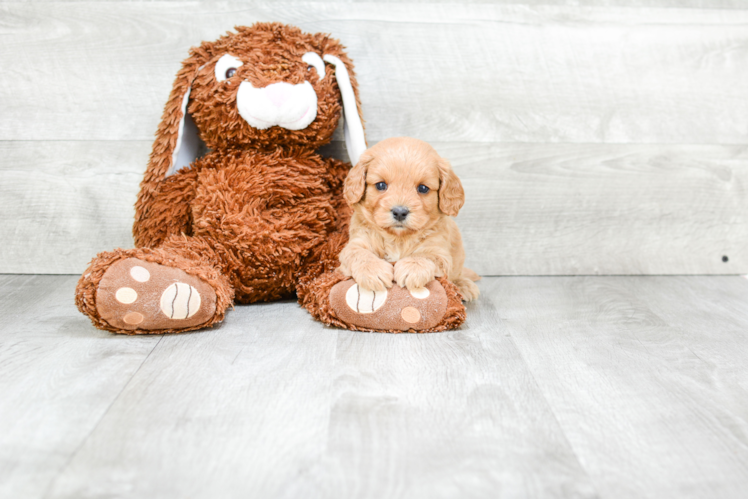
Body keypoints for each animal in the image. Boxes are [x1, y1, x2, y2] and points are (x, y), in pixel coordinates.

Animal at [338, 136, 480, 300]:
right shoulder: (356, 243)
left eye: (423, 188)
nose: (400, 212)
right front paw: (374, 270)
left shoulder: (439, 251)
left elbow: (425, 255)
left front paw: (412, 268)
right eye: (381, 185)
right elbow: (359, 253)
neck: (398, 239)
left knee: (458, 273)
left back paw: (463, 285)